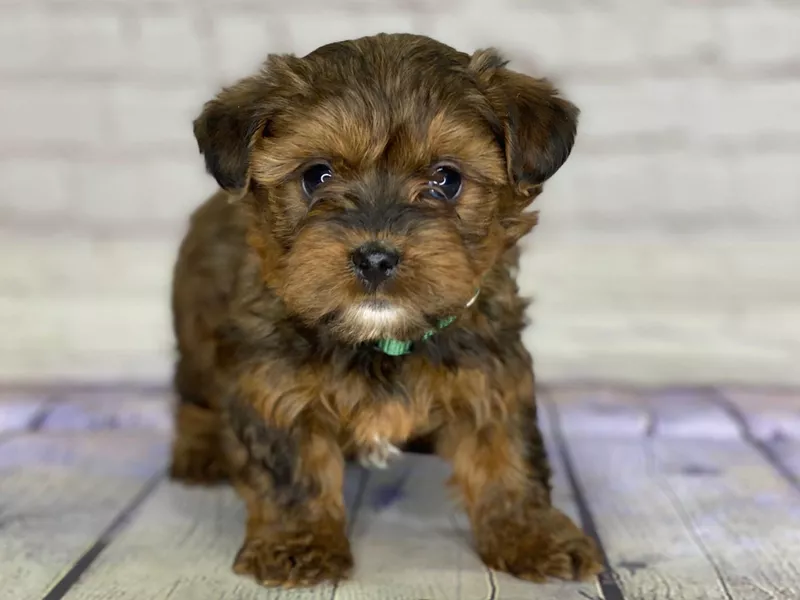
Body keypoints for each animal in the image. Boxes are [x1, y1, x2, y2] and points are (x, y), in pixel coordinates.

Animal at [170, 31, 608, 584]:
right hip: (195, 339)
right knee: (194, 396)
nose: (375, 257)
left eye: (446, 179)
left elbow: (507, 454)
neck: (380, 338)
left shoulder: (490, 371)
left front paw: (531, 532)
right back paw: (200, 452)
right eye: (317, 176)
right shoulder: (275, 382)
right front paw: (299, 543)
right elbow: (293, 469)